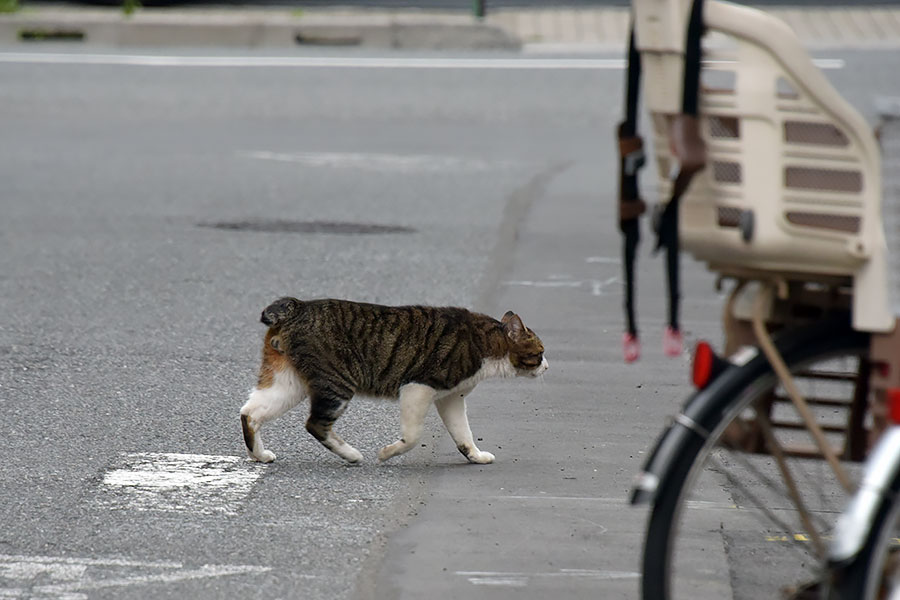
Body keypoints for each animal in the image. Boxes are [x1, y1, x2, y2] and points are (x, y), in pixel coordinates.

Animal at [239, 298, 548, 466]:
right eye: (540, 352)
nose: (547, 366)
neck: (486, 344)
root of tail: (298, 307)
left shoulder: (451, 397)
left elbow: (463, 434)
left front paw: (475, 456)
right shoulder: (417, 387)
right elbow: (412, 437)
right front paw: (387, 453)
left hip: (288, 383)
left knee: (249, 412)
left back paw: (260, 455)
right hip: (337, 384)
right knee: (315, 423)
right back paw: (352, 454)